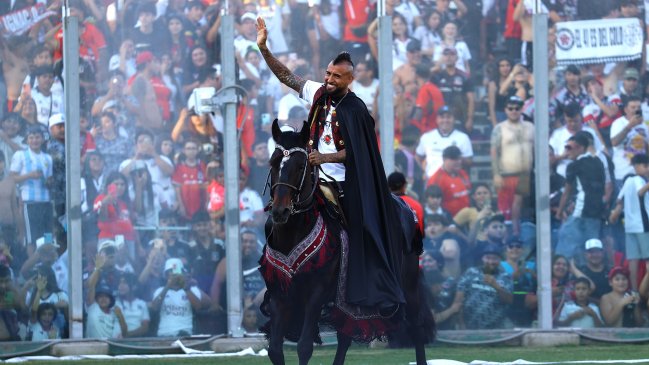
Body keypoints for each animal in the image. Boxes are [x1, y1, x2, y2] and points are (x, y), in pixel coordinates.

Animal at [260, 119, 436, 364]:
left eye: (301, 165)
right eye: (274, 162)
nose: (280, 211)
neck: (294, 233)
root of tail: (405, 206)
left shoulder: (316, 293)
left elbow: (304, 347)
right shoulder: (279, 293)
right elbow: (275, 349)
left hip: (408, 285)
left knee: (416, 327)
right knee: (345, 336)